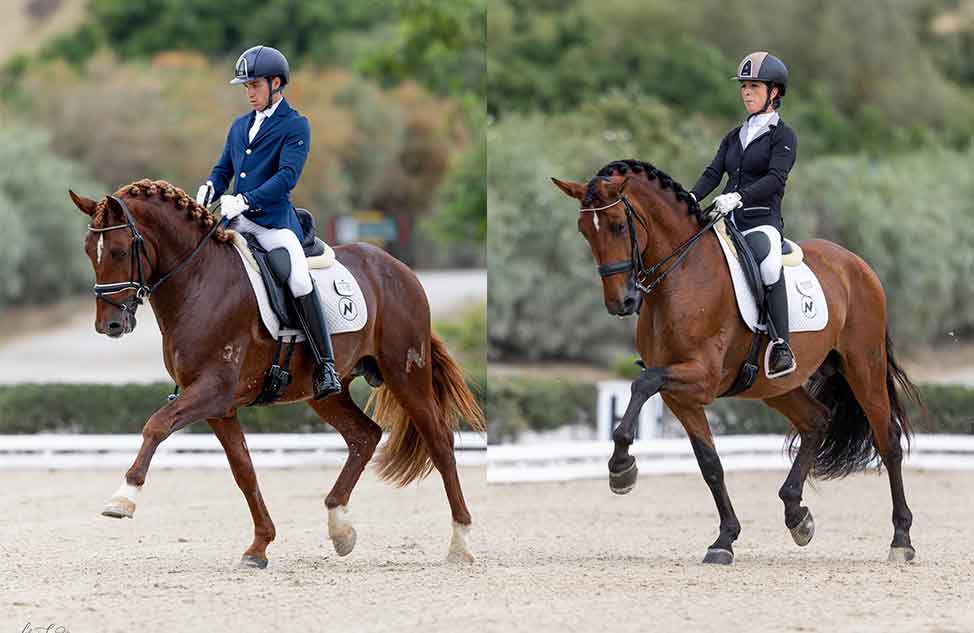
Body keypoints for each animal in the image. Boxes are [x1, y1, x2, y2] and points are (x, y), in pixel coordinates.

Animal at [66, 179, 486, 568]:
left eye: (120, 251)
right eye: (88, 251)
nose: (109, 326)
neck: (200, 280)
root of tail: (396, 267)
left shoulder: (212, 390)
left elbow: (156, 425)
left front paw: (123, 498)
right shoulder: (218, 406)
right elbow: (244, 471)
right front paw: (259, 546)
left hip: (405, 372)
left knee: (439, 442)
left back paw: (461, 543)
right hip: (326, 392)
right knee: (364, 436)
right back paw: (340, 527)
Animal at [556, 160, 924, 564]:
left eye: (619, 226)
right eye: (584, 231)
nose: (620, 302)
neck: (681, 276)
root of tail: (856, 264)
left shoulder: (701, 377)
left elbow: (642, 383)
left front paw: (621, 470)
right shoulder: (681, 395)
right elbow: (710, 464)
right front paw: (724, 539)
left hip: (863, 365)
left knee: (887, 441)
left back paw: (901, 540)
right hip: (776, 385)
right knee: (817, 421)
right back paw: (797, 515)